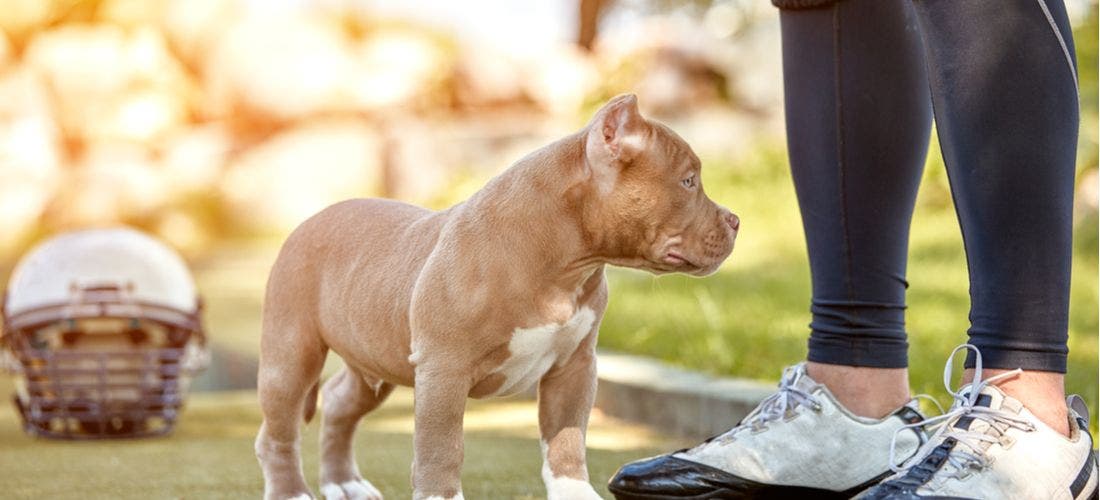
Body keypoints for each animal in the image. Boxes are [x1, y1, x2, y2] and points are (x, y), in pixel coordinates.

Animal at [253, 95, 739, 500]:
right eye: (688, 181)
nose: (735, 219)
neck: (565, 262)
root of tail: (314, 216)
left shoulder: (575, 366)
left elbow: (566, 439)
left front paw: (574, 492)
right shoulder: (443, 370)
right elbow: (441, 449)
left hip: (374, 358)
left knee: (339, 402)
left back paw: (344, 484)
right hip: (291, 354)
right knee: (278, 433)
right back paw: (292, 492)